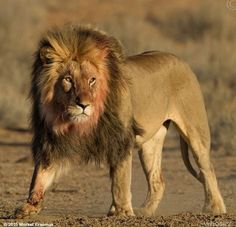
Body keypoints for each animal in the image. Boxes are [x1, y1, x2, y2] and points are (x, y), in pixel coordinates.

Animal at [14, 24, 225, 218]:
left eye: (92, 80)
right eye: (68, 79)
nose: (83, 105)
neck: (77, 121)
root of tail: (180, 60)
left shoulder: (120, 139)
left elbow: (120, 180)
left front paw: (122, 211)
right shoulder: (52, 140)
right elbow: (40, 175)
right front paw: (29, 206)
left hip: (195, 130)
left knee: (208, 169)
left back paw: (214, 208)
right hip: (150, 144)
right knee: (158, 181)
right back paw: (144, 211)